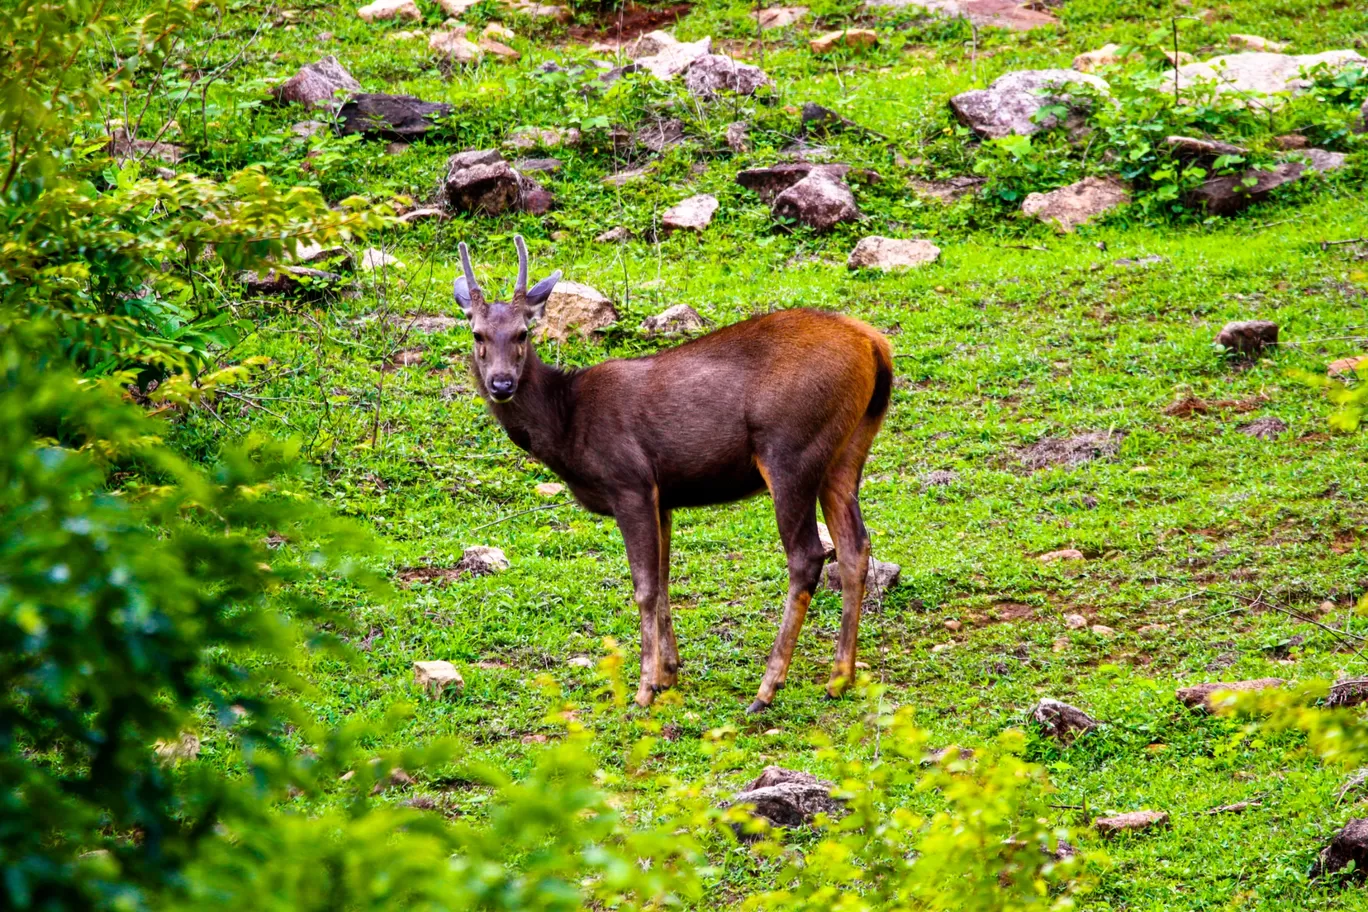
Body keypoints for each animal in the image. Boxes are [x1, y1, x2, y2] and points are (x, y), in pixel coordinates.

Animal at [454, 235, 891, 711]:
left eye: (523, 333)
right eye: (477, 333)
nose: (501, 384)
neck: (567, 426)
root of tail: (875, 345)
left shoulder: (630, 482)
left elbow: (644, 587)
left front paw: (644, 688)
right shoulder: (663, 496)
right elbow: (664, 582)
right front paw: (669, 673)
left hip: (790, 450)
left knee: (808, 555)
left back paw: (767, 688)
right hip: (847, 450)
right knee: (855, 546)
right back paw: (840, 678)